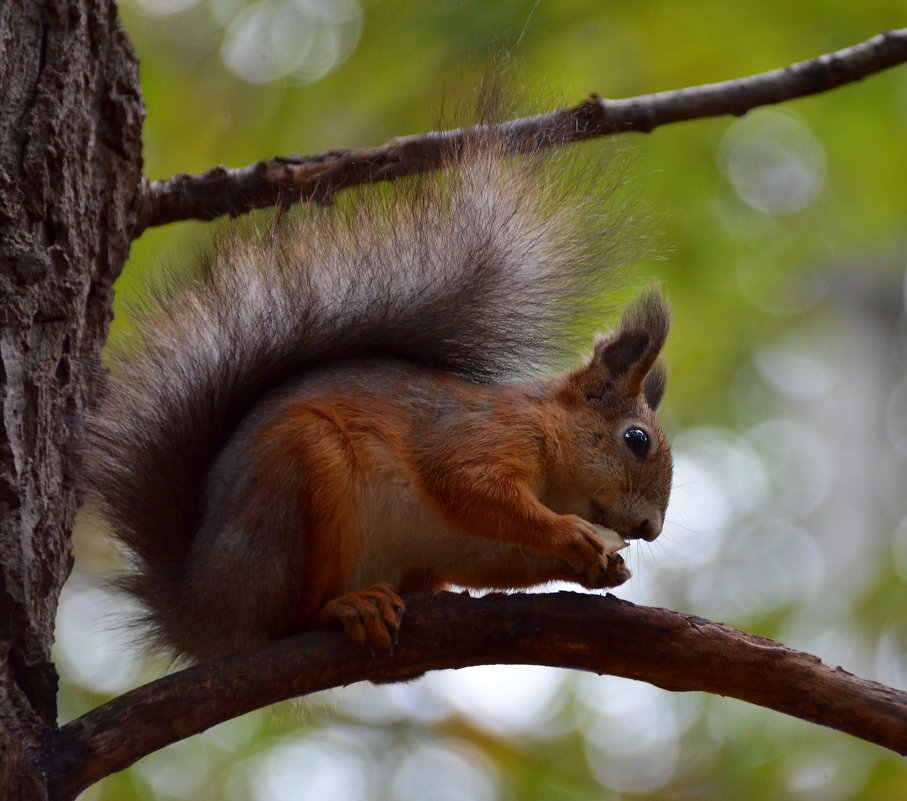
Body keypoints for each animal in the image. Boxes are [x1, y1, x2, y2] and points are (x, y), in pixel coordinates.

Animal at [87, 133, 672, 664]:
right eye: (636, 439)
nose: (651, 530)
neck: (545, 434)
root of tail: (198, 612)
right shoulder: (478, 435)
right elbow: (467, 485)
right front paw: (570, 534)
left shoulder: (464, 542)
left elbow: (499, 556)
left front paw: (601, 567)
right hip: (300, 482)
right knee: (290, 619)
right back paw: (346, 607)